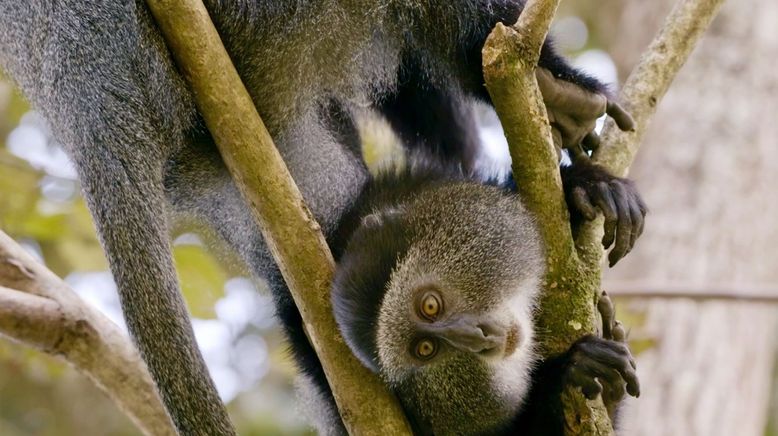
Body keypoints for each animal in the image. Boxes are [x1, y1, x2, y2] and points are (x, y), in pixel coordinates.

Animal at [0, 1, 644, 434]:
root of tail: (83, 100)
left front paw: (581, 191)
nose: (474, 335)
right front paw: (570, 376)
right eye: (429, 316)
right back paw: (553, 88)